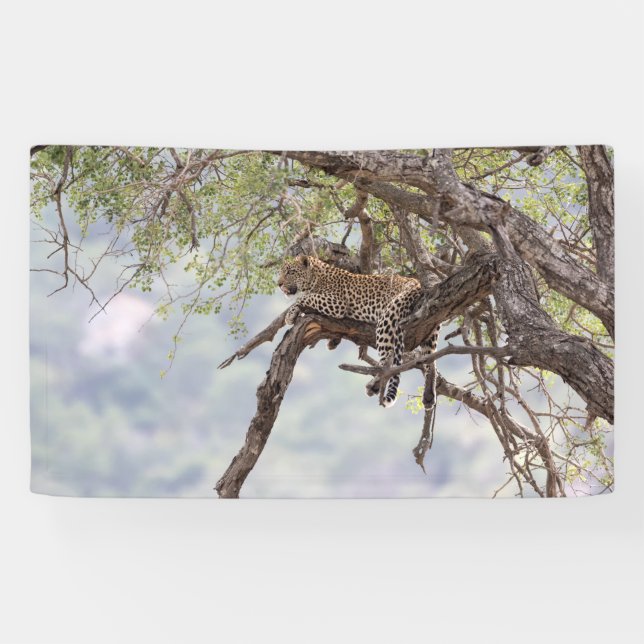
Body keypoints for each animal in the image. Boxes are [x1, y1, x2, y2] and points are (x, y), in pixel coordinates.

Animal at [277, 255, 440, 408]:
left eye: (290, 272)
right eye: (281, 272)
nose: (279, 284)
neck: (316, 277)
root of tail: (417, 284)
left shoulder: (337, 303)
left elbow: (305, 298)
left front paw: (290, 315)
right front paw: (333, 342)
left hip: (387, 319)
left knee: (387, 360)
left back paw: (375, 384)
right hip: (430, 327)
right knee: (430, 361)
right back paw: (429, 394)